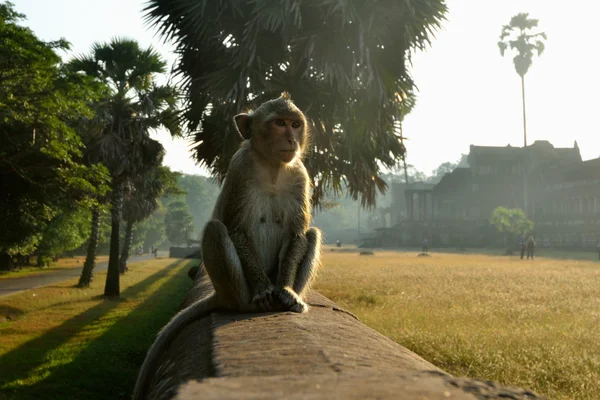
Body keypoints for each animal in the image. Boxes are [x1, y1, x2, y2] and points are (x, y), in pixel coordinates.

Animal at [134, 91, 324, 400]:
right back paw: (250, 304)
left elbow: (297, 234)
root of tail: (220, 295)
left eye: (296, 124)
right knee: (216, 230)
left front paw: (284, 290)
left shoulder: (300, 175)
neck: (272, 167)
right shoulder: (240, 168)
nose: (291, 139)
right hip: (233, 288)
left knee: (312, 234)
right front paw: (264, 290)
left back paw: (293, 299)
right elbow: (235, 229)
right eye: (279, 123)